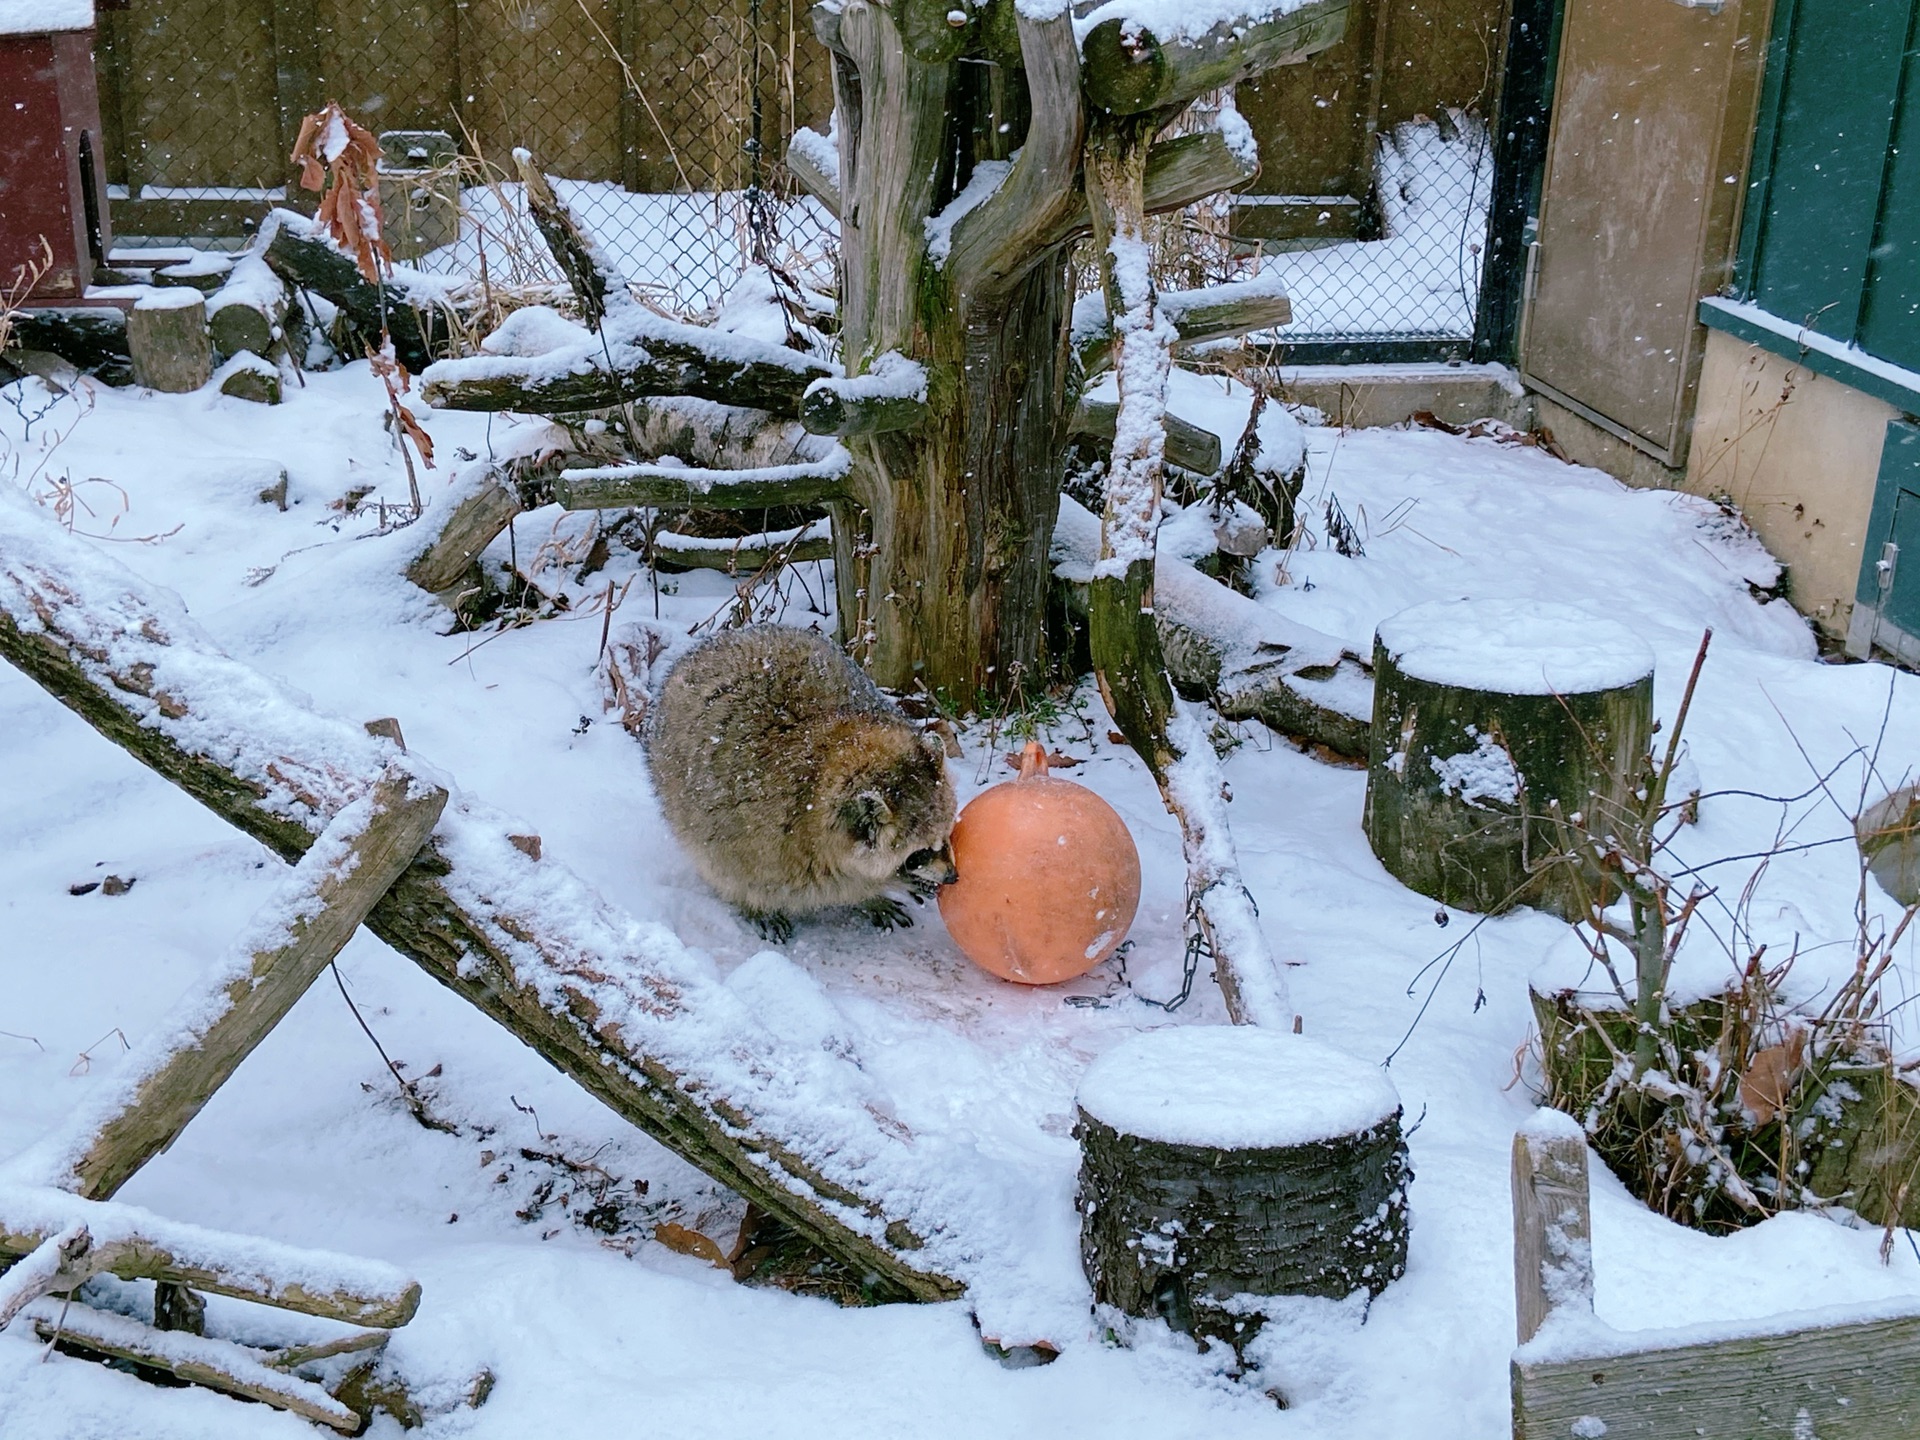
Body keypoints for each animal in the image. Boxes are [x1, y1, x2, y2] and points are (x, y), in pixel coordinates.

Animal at [648, 625, 956, 940]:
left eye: (946, 836)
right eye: (918, 854)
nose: (953, 877)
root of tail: (720, 639)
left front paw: (872, 894)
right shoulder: (758, 838)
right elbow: (747, 874)